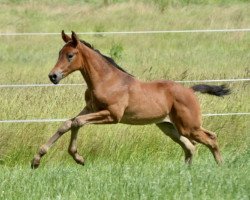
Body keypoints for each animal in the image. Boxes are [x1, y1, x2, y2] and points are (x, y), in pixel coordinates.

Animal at [31, 30, 230, 169]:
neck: (106, 80)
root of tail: (189, 90)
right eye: (59, 53)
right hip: (170, 127)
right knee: (190, 147)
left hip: (189, 126)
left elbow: (77, 122)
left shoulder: (112, 115)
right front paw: (37, 159)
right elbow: (68, 123)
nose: (53, 76)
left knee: (211, 138)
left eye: (70, 55)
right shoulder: (90, 108)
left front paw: (78, 157)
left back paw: (221, 167)